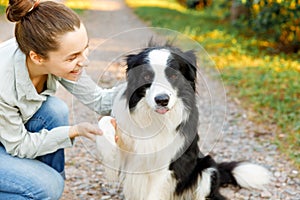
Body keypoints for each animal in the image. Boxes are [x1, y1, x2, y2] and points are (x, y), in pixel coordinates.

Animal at [96, 43, 270, 199]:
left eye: (174, 76)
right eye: (146, 76)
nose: (162, 100)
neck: (156, 120)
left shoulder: (166, 166)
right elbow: (105, 121)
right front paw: (107, 148)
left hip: (207, 169)